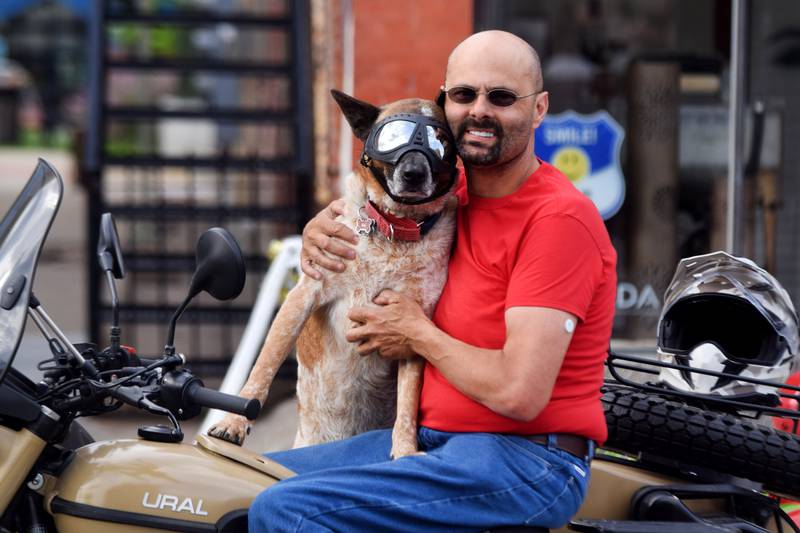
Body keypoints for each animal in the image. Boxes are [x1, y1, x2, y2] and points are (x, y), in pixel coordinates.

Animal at [208, 91, 456, 458]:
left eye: (441, 143)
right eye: (392, 137)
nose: (413, 173)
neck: (392, 231)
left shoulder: (413, 327)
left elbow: (409, 405)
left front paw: (405, 451)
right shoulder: (302, 297)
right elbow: (263, 366)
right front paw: (233, 423)